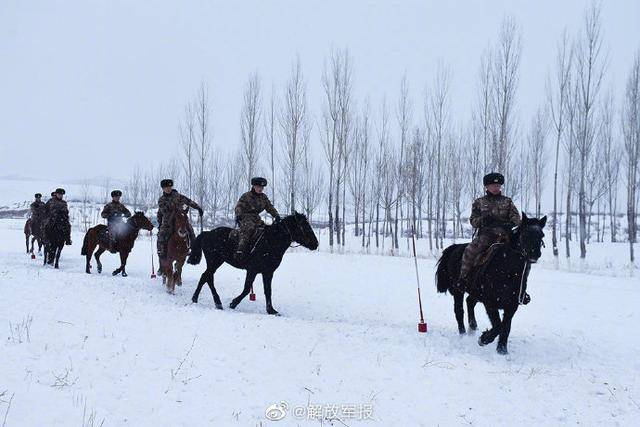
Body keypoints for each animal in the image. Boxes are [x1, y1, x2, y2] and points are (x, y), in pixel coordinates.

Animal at [186, 213, 318, 316]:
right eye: (304, 226)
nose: (316, 243)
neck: (271, 242)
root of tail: (207, 233)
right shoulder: (252, 270)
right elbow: (246, 289)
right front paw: (233, 303)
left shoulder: (268, 272)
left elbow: (268, 290)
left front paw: (271, 310)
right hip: (214, 262)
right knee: (207, 277)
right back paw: (214, 302)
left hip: (216, 262)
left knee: (206, 277)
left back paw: (198, 298)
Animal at [436, 213, 544, 354]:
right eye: (525, 234)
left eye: (541, 235)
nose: (534, 254)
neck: (508, 270)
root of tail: (455, 248)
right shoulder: (490, 303)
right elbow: (498, 325)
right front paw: (484, 339)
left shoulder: (512, 306)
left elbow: (506, 327)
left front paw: (502, 350)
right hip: (458, 290)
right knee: (459, 311)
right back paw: (463, 334)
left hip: (475, 292)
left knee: (469, 302)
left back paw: (473, 327)